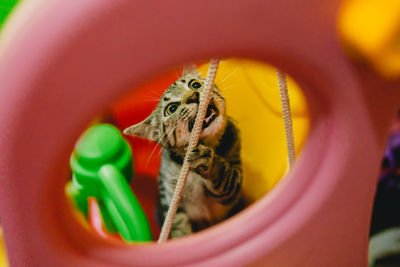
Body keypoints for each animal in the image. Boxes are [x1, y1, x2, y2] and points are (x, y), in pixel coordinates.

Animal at [125, 66, 242, 239]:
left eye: (195, 84)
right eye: (171, 109)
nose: (193, 96)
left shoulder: (233, 184)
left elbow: (224, 175)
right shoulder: (170, 197)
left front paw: (206, 158)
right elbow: (179, 225)